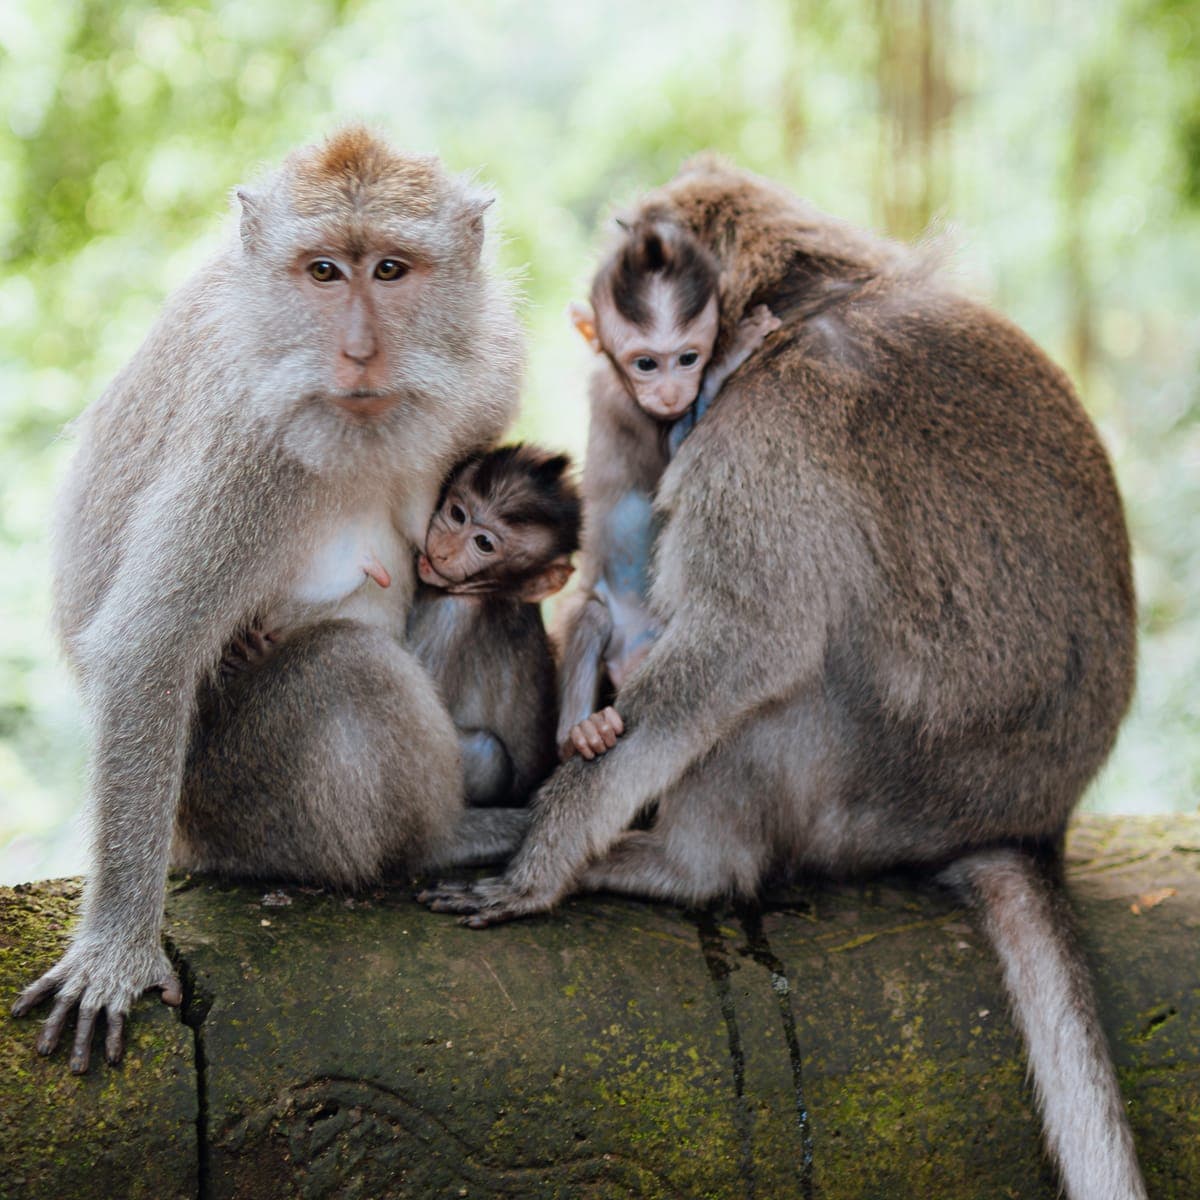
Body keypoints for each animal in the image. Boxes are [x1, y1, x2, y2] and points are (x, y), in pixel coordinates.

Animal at [12, 127, 533, 1074]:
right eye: (323, 271)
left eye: (389, 270)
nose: (359, 352)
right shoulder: (245, 442)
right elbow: (149, 650)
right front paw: (116, 950)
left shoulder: (489, 369)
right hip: (237, 799)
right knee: (350, 668)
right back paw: (441, 841)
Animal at [407, 442, 582, 805]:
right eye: (457, 514)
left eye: (484, 544)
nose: (443, 551)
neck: (492, 592)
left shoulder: (452, 614)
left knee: (488, 754)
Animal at [557, 217, 780, 762]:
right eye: (646, 364)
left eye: (687, 357)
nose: (672, 392)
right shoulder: (631, 411)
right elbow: (674, 460)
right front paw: (736, 352)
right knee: (589, 615)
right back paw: (579, 733)